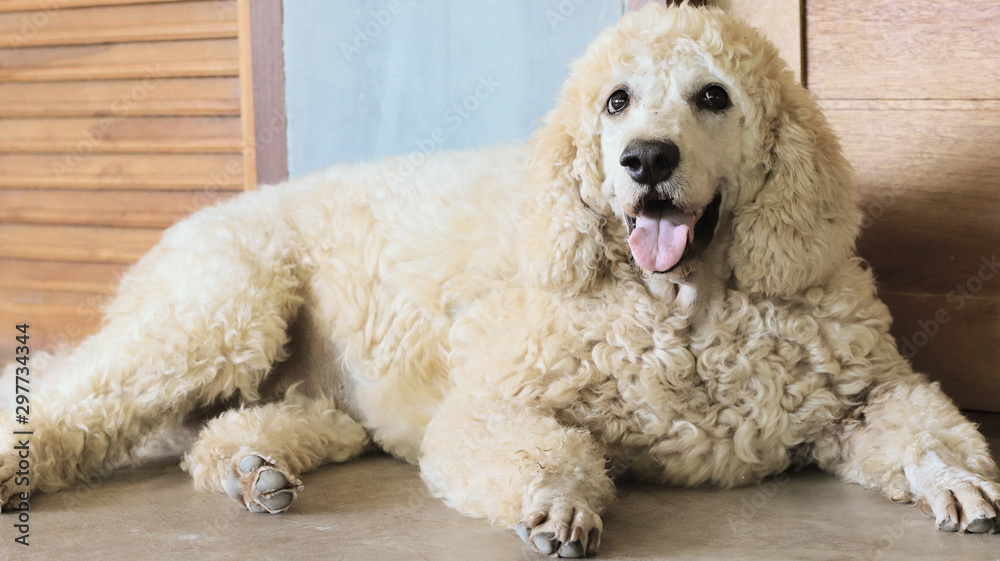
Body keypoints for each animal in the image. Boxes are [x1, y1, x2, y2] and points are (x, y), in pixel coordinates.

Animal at [1, 4, 1000, 556]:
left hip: (309, 398)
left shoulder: (858, 397)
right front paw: (557, 498)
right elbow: (540, 451)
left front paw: (955, 475)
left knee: (228, 429)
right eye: (616, 101)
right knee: (75, 397)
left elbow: (921, 424)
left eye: (713, 96)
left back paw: (252, 469)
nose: (645, 159)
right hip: (221, 309)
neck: (686, 311)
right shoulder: (490, 406)